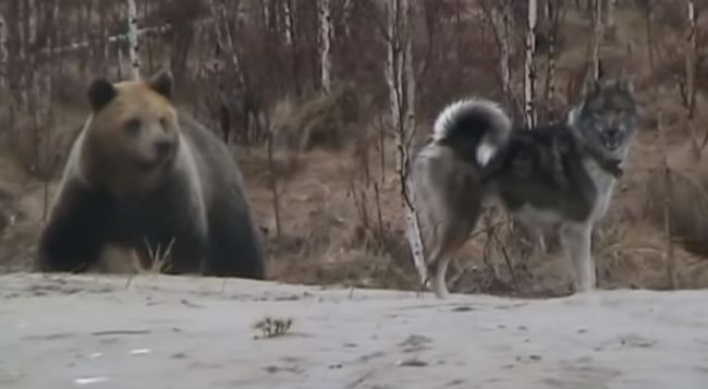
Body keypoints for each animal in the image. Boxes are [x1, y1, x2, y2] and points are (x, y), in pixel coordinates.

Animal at [35, 70, 266, 278]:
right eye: (133, 122)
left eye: (162, 120)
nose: (162, 144)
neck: (133, 180)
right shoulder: (92, 189)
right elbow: (68, 234)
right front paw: (57, 261)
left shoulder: (169, 192)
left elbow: (179, 238)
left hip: (221, 197)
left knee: (238, 245)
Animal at [410, 75, 636, 298]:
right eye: (598, 112)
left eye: (619, 110)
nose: (611, 131)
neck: (587, 150)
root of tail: (447, 139)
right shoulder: (576, 228)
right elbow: (585, 278)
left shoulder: (586, 229)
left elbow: (590, 274)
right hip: (462, 219)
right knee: (434, 264)